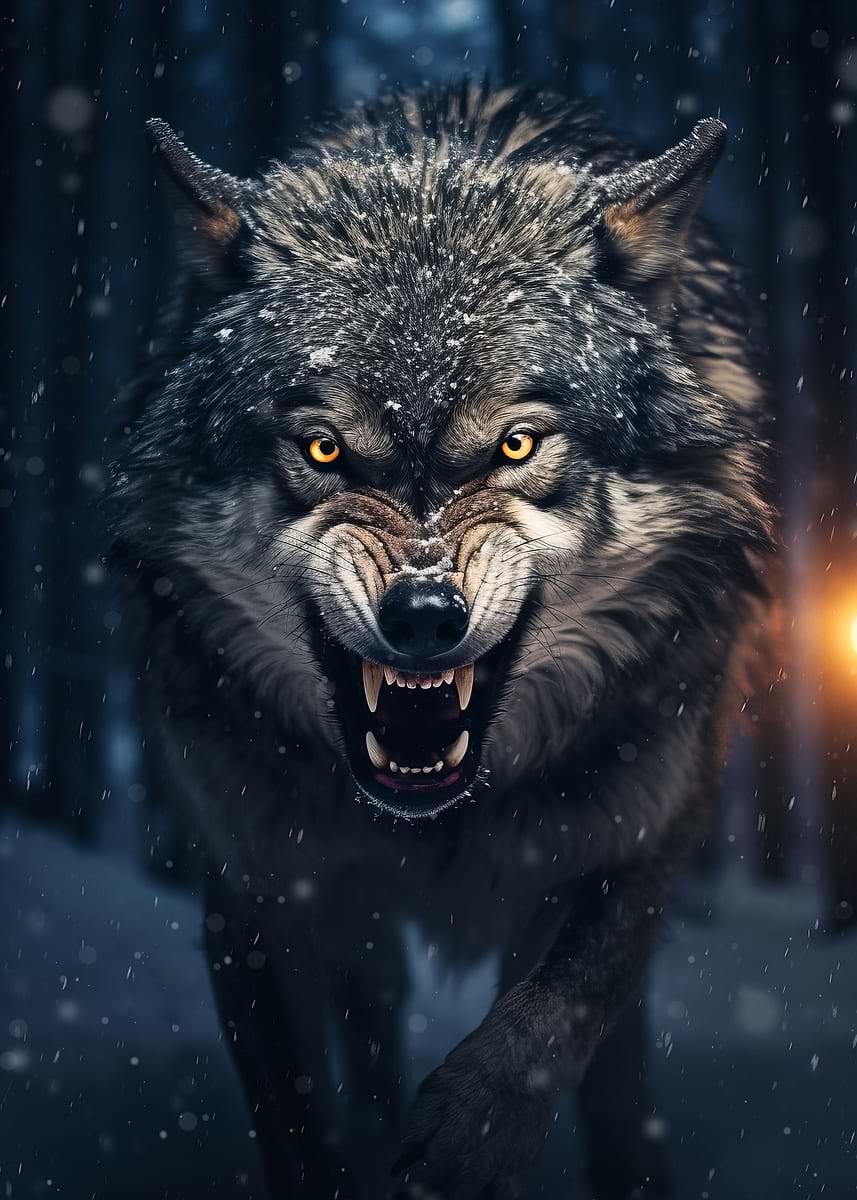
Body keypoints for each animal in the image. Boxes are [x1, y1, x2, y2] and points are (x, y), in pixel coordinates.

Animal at [112, 84, 774, 1199]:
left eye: (515, 445)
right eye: (321, 450)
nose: (423, 616)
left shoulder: (642, 830)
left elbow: (563, 1007)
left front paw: (472, 1136)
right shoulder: (252, 886)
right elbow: (295, 1114)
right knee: (373, 1020)